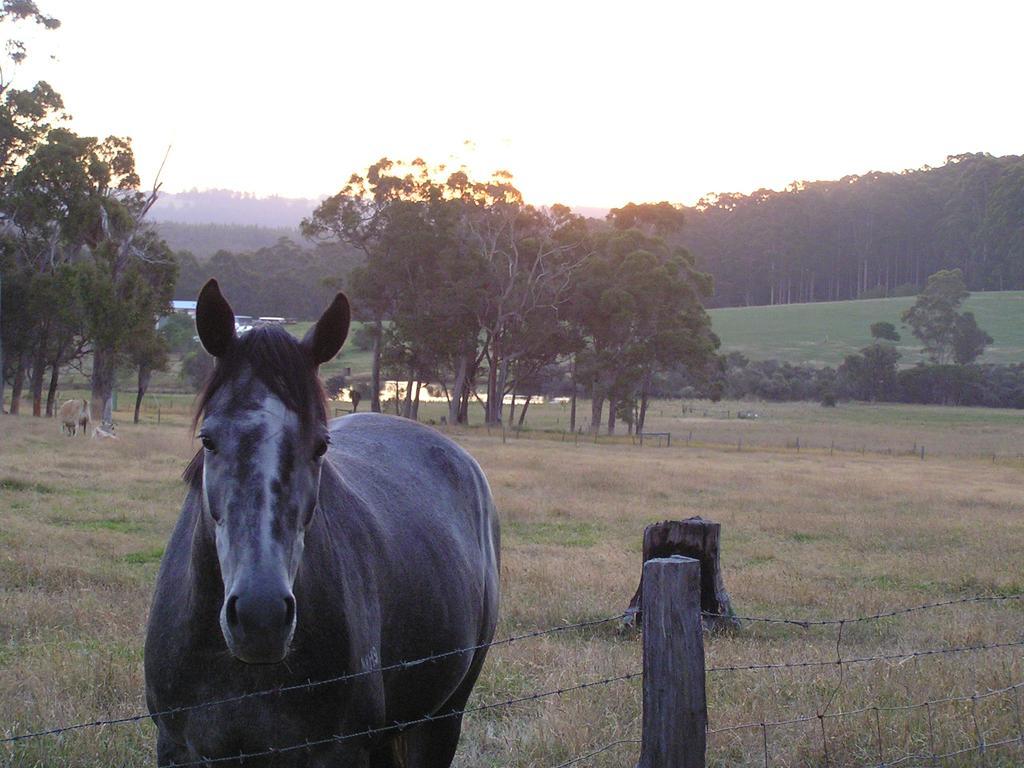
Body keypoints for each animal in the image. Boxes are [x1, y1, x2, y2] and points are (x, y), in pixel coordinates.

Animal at [143, 282, 499, 768]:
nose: (261, 616)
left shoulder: (339, 751)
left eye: (320, 446)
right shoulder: (178, 748)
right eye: (209, 440)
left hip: (443, 717)